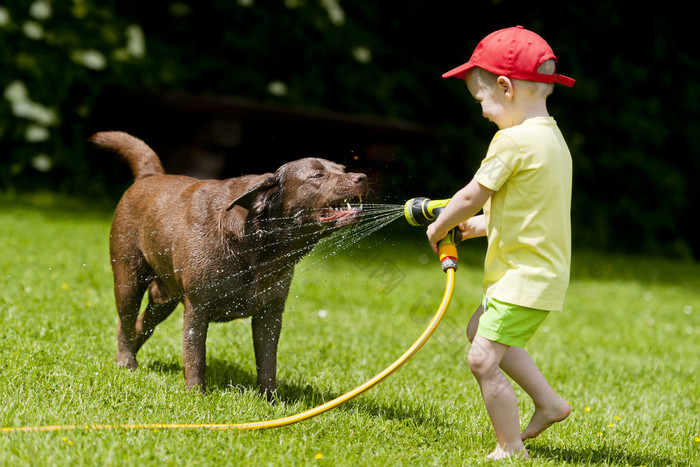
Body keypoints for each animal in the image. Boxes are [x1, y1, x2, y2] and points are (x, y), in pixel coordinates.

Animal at [90, 132, 370, 398]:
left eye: (343, 169)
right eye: (317, 175)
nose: (361, 177)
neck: (257, 245)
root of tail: (149, 176)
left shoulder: (270, 314)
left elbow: (268, 363)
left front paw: (270, 401)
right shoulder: (197, 308)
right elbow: (195, 356)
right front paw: (196, 395)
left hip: (164, 299)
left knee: (141, 324)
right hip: (128, 278)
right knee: (125, 322)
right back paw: (126, 363)